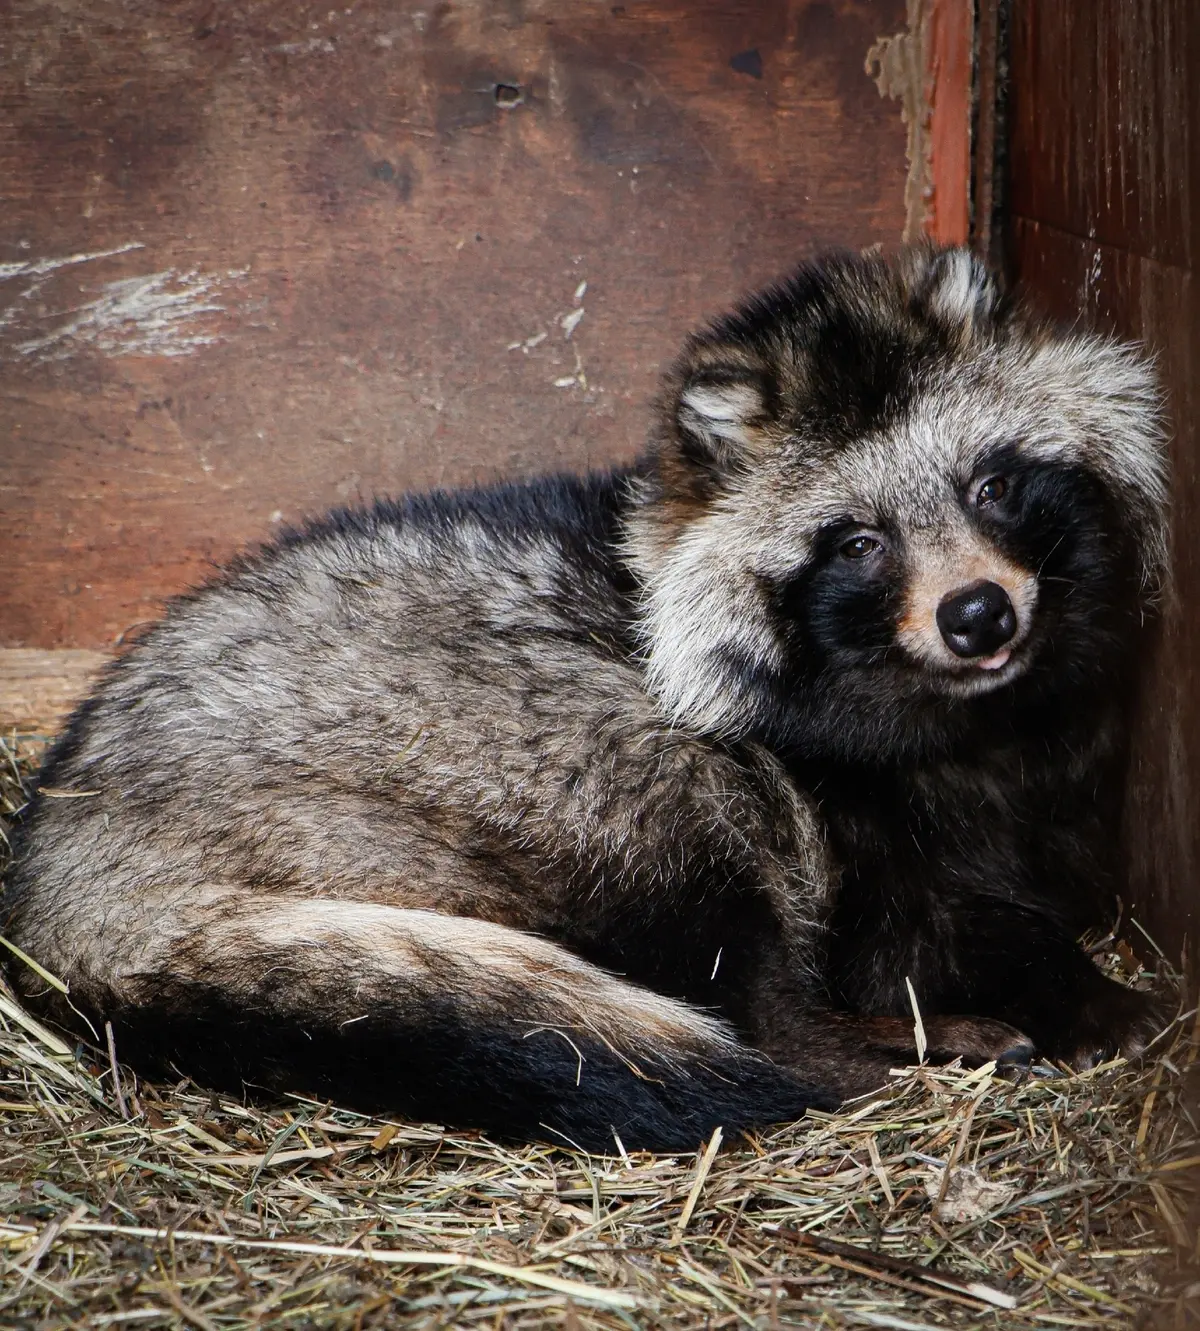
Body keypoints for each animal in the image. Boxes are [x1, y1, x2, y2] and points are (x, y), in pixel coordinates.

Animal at [0, 251, 1165, 1155]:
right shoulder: (837, 823)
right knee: (734, 956)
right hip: (522, 748)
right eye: (859, 542)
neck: (961, 715)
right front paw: (1072, 990)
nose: (979, 614)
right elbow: (910, 941)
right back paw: (889, 1052)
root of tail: (63, 855)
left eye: (993, 485)